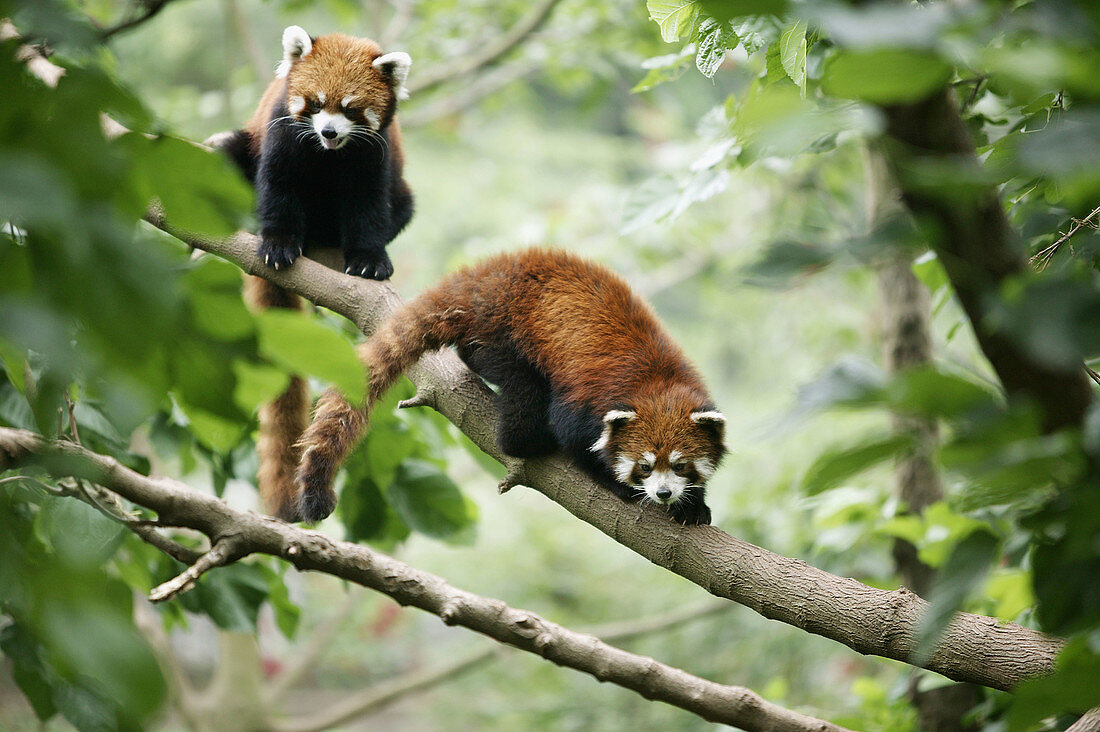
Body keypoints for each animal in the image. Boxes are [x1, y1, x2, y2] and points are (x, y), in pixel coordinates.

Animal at [209, 25, 413, 517]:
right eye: (316, 104)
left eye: (351, 108)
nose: (329, 132)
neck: (328, 157)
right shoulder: (283, 134)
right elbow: (278, 188)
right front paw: (278, 244)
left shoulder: (374, 158)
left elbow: (368, 207)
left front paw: (369, 258)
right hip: (240, 143)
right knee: (225, 150)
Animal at [281, 248, 730, 521]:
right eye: (644, 465)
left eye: (680, 465)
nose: (664, 494)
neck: (656, 378)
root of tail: (487, 275)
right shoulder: (587, 397)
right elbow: (575, 437)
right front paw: (612, 481)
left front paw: (694, 503)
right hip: (503, 335)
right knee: (524, 393)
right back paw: (526, 441)